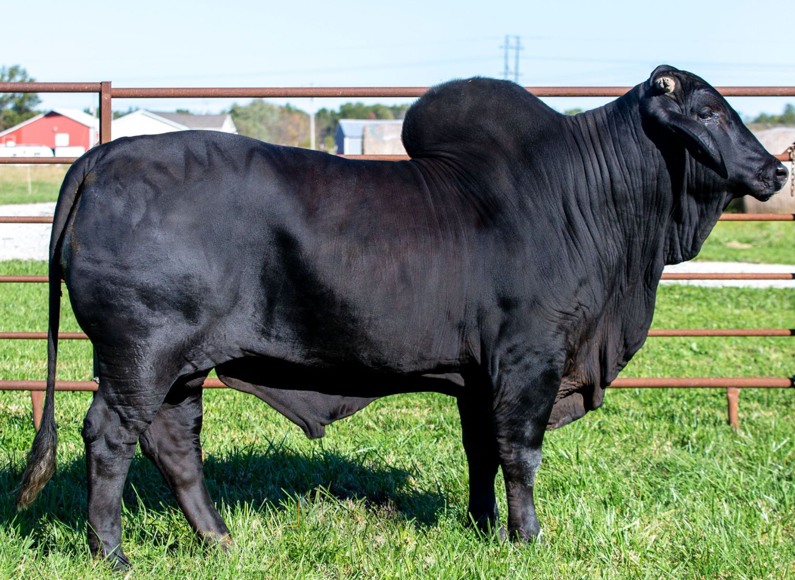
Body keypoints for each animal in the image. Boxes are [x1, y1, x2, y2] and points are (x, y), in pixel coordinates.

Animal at [16, 65, 787, 569]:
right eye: (709, 112)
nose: (776, 170)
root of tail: (105, 155)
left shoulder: (481, 375)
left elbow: (481, 451)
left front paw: (483, 527)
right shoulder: (530, 360)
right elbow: (520, 453)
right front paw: (528, 537)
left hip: (182, 368)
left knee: (175, 445)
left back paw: (220, 540)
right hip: (141, 353)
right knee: (110, 438)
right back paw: (112, 554)